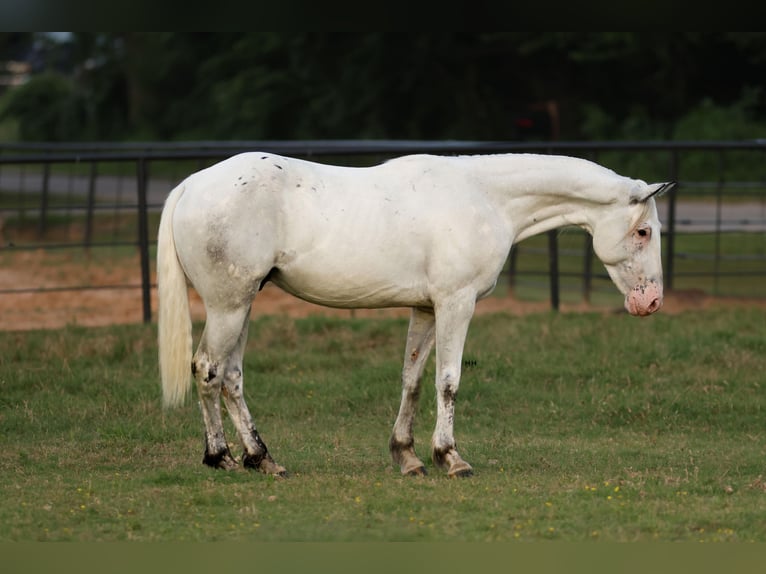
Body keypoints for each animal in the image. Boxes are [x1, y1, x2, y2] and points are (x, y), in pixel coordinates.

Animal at [159, 151, 676, 480]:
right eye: (644, 231)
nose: (651, 302)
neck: (484, 198)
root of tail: (190, 186)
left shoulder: (426, 309)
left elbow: (412, 379)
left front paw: (406, 458)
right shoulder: (456, 303)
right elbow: (448, 381)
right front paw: (451, 458)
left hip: (243, 305)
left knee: (232, 378)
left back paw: (262, 458)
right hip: (228, 306)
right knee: (208, 370)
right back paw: (221, 457)